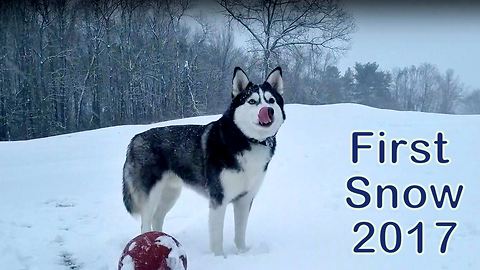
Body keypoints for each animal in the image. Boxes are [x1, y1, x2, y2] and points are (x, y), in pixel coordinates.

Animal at [124, 66, 284, 255]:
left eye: (271, 100)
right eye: (252, 101)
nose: (268, 110)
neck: (245, 139)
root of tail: (135, 138)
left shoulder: (245, 199)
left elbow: (240, 232)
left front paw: (243, 253)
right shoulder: (218, 199)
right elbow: (217, 236)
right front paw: (219, 257)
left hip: (170, 194)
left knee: (157, 218)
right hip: (150, 195)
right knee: (145, 222)